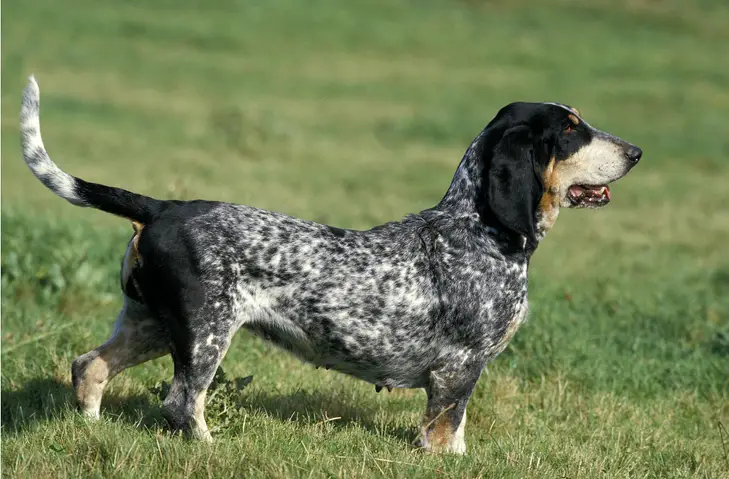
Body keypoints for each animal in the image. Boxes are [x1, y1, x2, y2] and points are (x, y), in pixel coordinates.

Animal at [19, 76, 640, 454]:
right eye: (571, 129)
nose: (636, 152)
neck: (478, 227)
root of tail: (164, 207)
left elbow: (457, 432)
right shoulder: (458, 369)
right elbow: (442, 434)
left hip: (151, 324)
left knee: (89, 367)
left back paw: (91, 428)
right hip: (205, 335)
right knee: (180, 403)